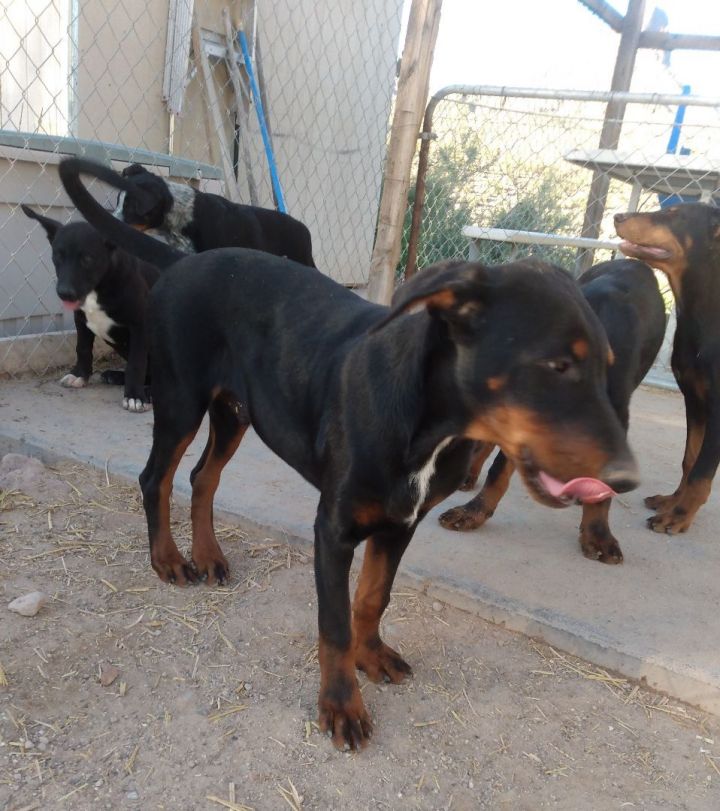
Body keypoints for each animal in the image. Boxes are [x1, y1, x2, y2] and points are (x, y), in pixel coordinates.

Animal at [21, 203, 160, 412]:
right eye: (57, 256)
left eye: (87, 258)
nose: (65, 293)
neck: (99, 287)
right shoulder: (81, 319)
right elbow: (83, 348)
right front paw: (80, 374)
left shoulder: (139, 325)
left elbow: (136, 363)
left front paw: (135, 396)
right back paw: (115, 376)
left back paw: (149, 392)